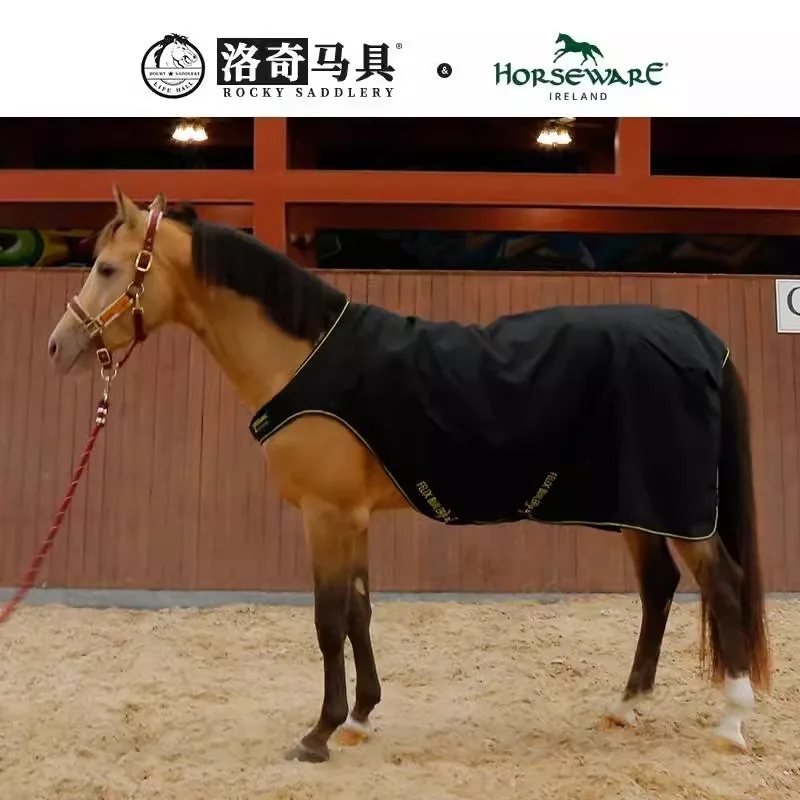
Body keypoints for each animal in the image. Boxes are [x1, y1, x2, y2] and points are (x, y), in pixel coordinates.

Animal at [46, 188, 771, 762]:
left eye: (108, 268)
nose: (59, 347)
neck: (304, 358)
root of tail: (699, 335)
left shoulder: (326, 516)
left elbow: (327, 621)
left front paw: (318, 734)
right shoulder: (353, 518)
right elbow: (360, 614)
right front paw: (360, 718)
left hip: (677, 509)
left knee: (722, 584)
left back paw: (732, 720)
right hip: (637, 508)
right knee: (659, 588)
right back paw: (626, 705)